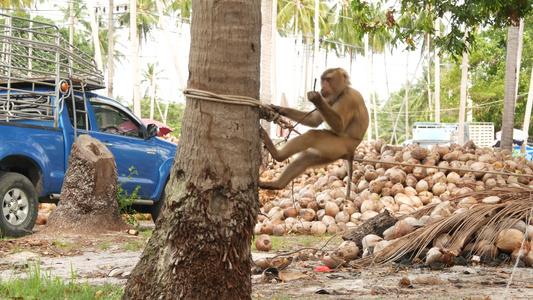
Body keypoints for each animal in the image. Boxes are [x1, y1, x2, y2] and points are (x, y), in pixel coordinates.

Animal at [258, 67, 368, 196]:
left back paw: (278, 155)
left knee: (313, 136)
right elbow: (313, 120)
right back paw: (277, 184)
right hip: (332, 154)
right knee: (306, 159)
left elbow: (339, 126)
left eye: (328, 79)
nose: (322, 88)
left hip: (339, 146)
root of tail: (351, 151)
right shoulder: (329, 100)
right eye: (323, 80)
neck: (342, 91)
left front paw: (316, 98)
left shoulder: (348, 98)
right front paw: (280, 109)